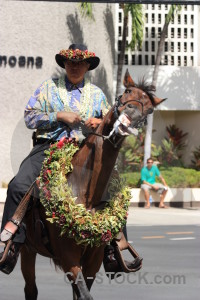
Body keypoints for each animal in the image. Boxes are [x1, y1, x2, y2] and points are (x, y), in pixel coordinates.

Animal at [20, 69, 165, 298]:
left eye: (149, 109)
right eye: (126, 92)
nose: (131, 115)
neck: (85, 190)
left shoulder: (93, 256)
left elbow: (83, 292)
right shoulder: (68, 255)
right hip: (27, 249)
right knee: (31, 289)